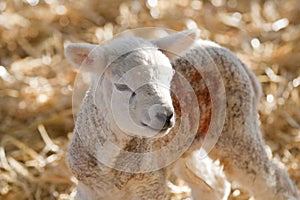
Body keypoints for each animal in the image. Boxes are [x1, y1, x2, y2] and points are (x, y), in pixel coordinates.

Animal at [64, 28, 298, 200]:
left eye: (169, 77)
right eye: (121, 86)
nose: (166, 116)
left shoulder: (150, 185)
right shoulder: (87, 188)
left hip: (237, 126)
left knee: (274, 180)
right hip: (186, 145)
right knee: (214, 185)